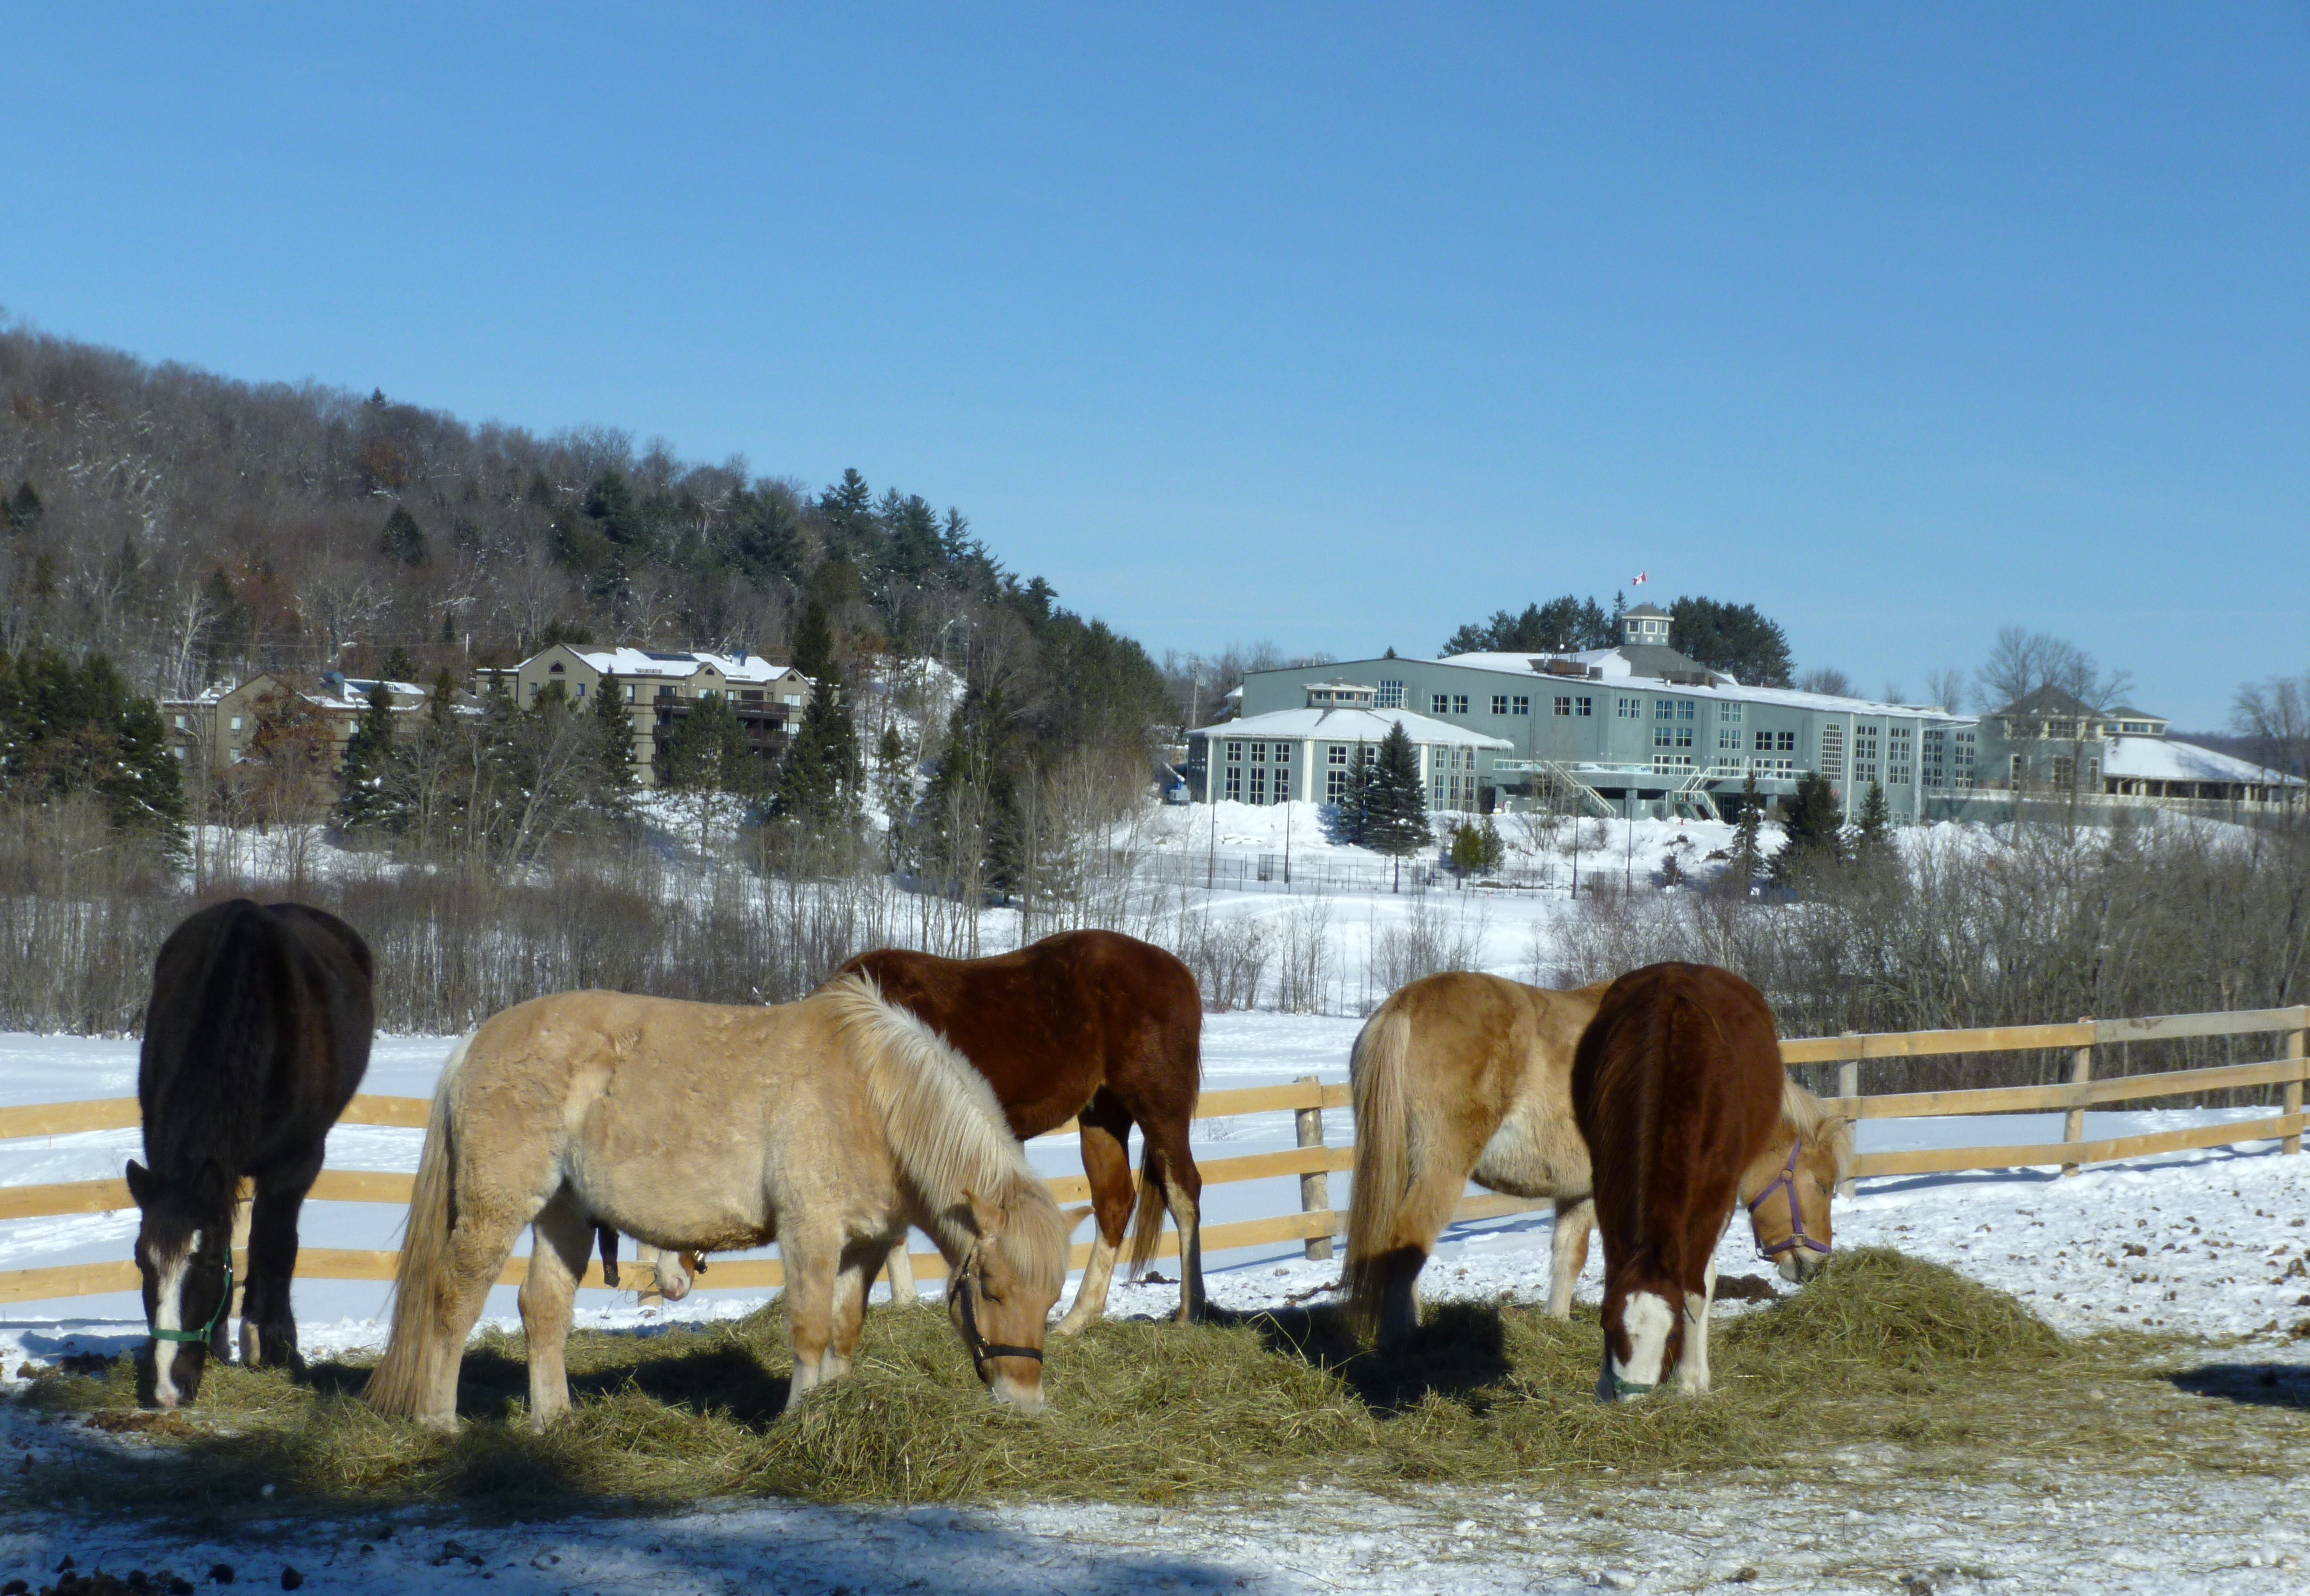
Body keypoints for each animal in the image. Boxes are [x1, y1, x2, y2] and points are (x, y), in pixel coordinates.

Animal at [126, 899, 374, 1409]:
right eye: (142, 1260)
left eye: (201, 1263)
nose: (166, 1389)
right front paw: (221, 1339)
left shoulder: (296, 1164)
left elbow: (276, 1244)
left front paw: (275, 1344)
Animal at [362, 974, 1072, 1432]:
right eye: (991, 1288)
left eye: (1050, 1301)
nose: (1025, 1402)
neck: (871, 1095)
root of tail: (474, 1044)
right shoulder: (810, 1234)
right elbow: (809, 1331)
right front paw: (798, 1422)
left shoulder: (865, 1246)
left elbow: (844, 1333)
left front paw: (835, 1408)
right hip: (498, 1207)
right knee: (453, 1300)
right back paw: (439, 1420)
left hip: (563, 1214)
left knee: (543, 1311)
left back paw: (554, 1422)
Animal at [836, 930, 1206, 1332]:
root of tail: (1179, 970)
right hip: (1103, 1116)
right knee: (1114, 1203)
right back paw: (1076, 1320)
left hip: (1159, 1109)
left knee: (1183, 1193)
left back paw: (1189, 1313)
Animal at [1343, 969, 1850, 1349]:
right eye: (1823, 1184)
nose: (1817, 1265)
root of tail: (1408, 1001)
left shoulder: (1578, 1193)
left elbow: (1567, 1257)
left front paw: (1558, 1322)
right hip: (1439, 1170)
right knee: (1407, 1240)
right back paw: (1399, 1342)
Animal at [1573, 962, 1804, 1400]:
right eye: (1606, 1323)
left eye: (1673, 1332)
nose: (1633, 1400)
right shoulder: (1606, 1187)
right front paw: (1602, 1384)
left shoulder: (1715, 1197)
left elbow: (1696, 1291)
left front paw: (1691, 1380)